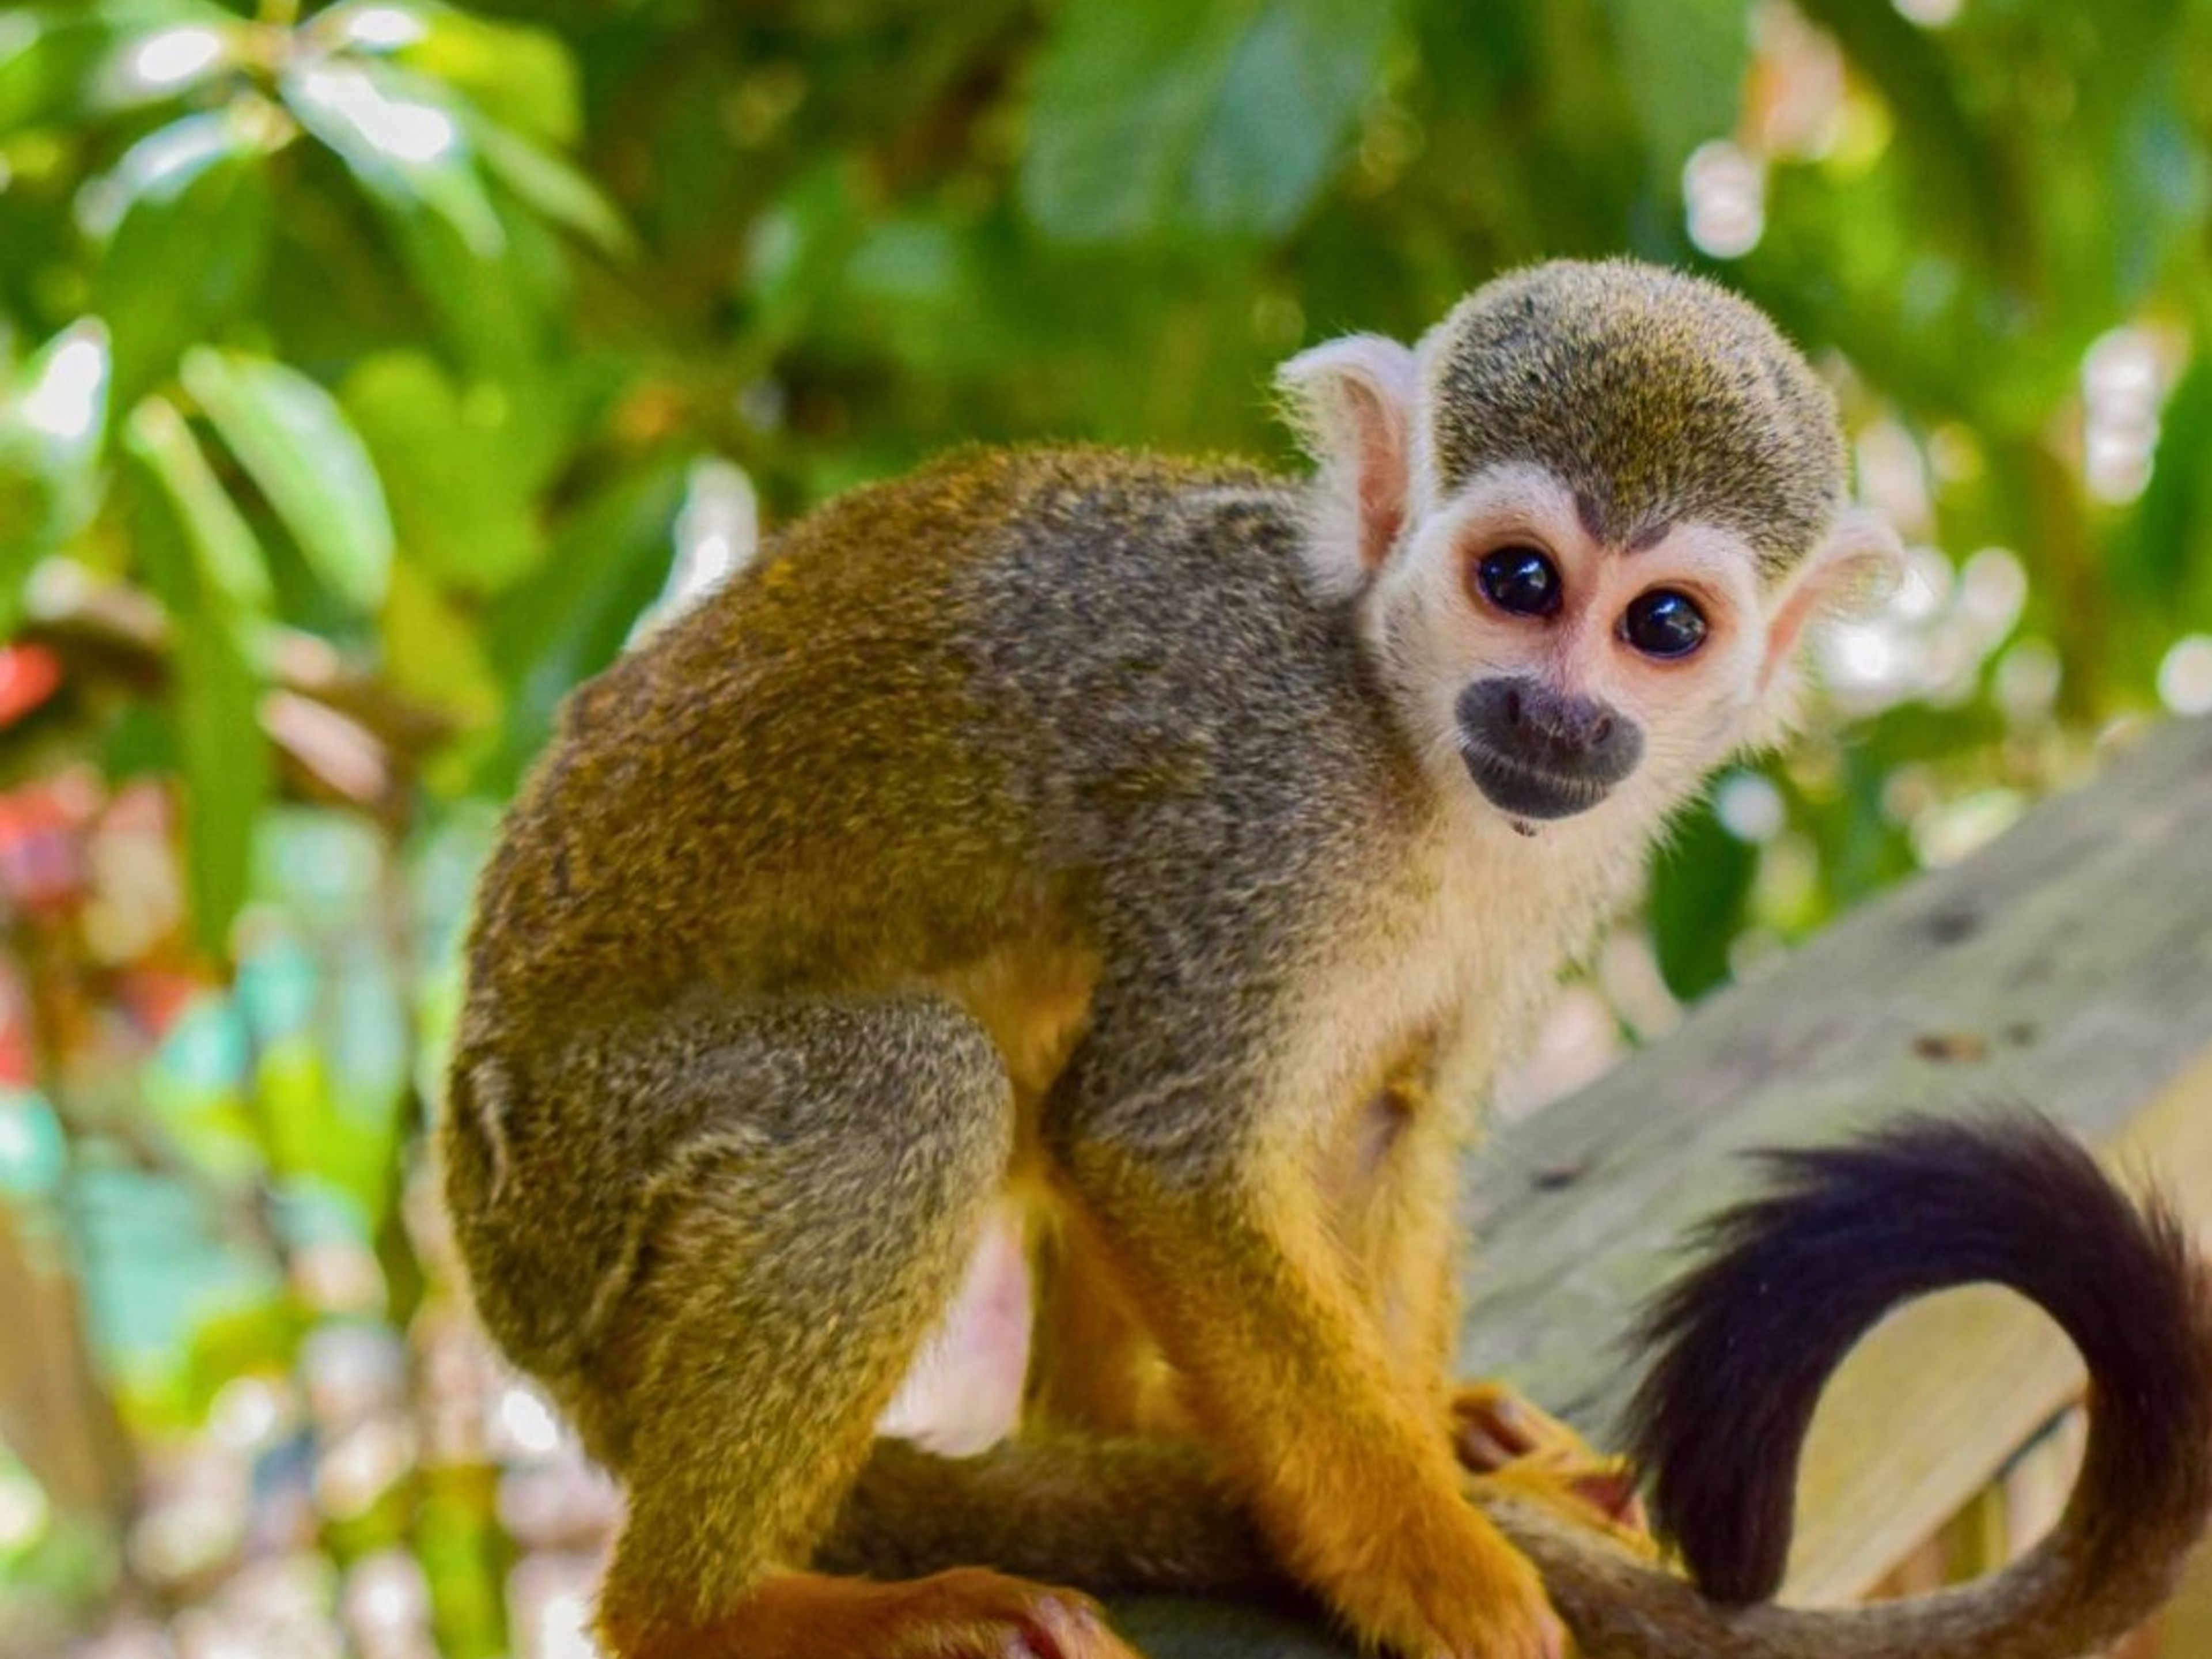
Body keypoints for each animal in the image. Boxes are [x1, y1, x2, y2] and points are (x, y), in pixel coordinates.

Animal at [438, 258, 2212, 1659]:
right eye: (1519, 581)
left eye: (1663, 626)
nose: (1557, 714)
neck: (1397, 726)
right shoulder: (1261, 801)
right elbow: (1160, 1149)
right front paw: (1450, 1574)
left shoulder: (1563, 853)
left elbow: (1379, 1118)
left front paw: (1433, 1454)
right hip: (583, 1176)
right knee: (905, 1092)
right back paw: (719, 1608)